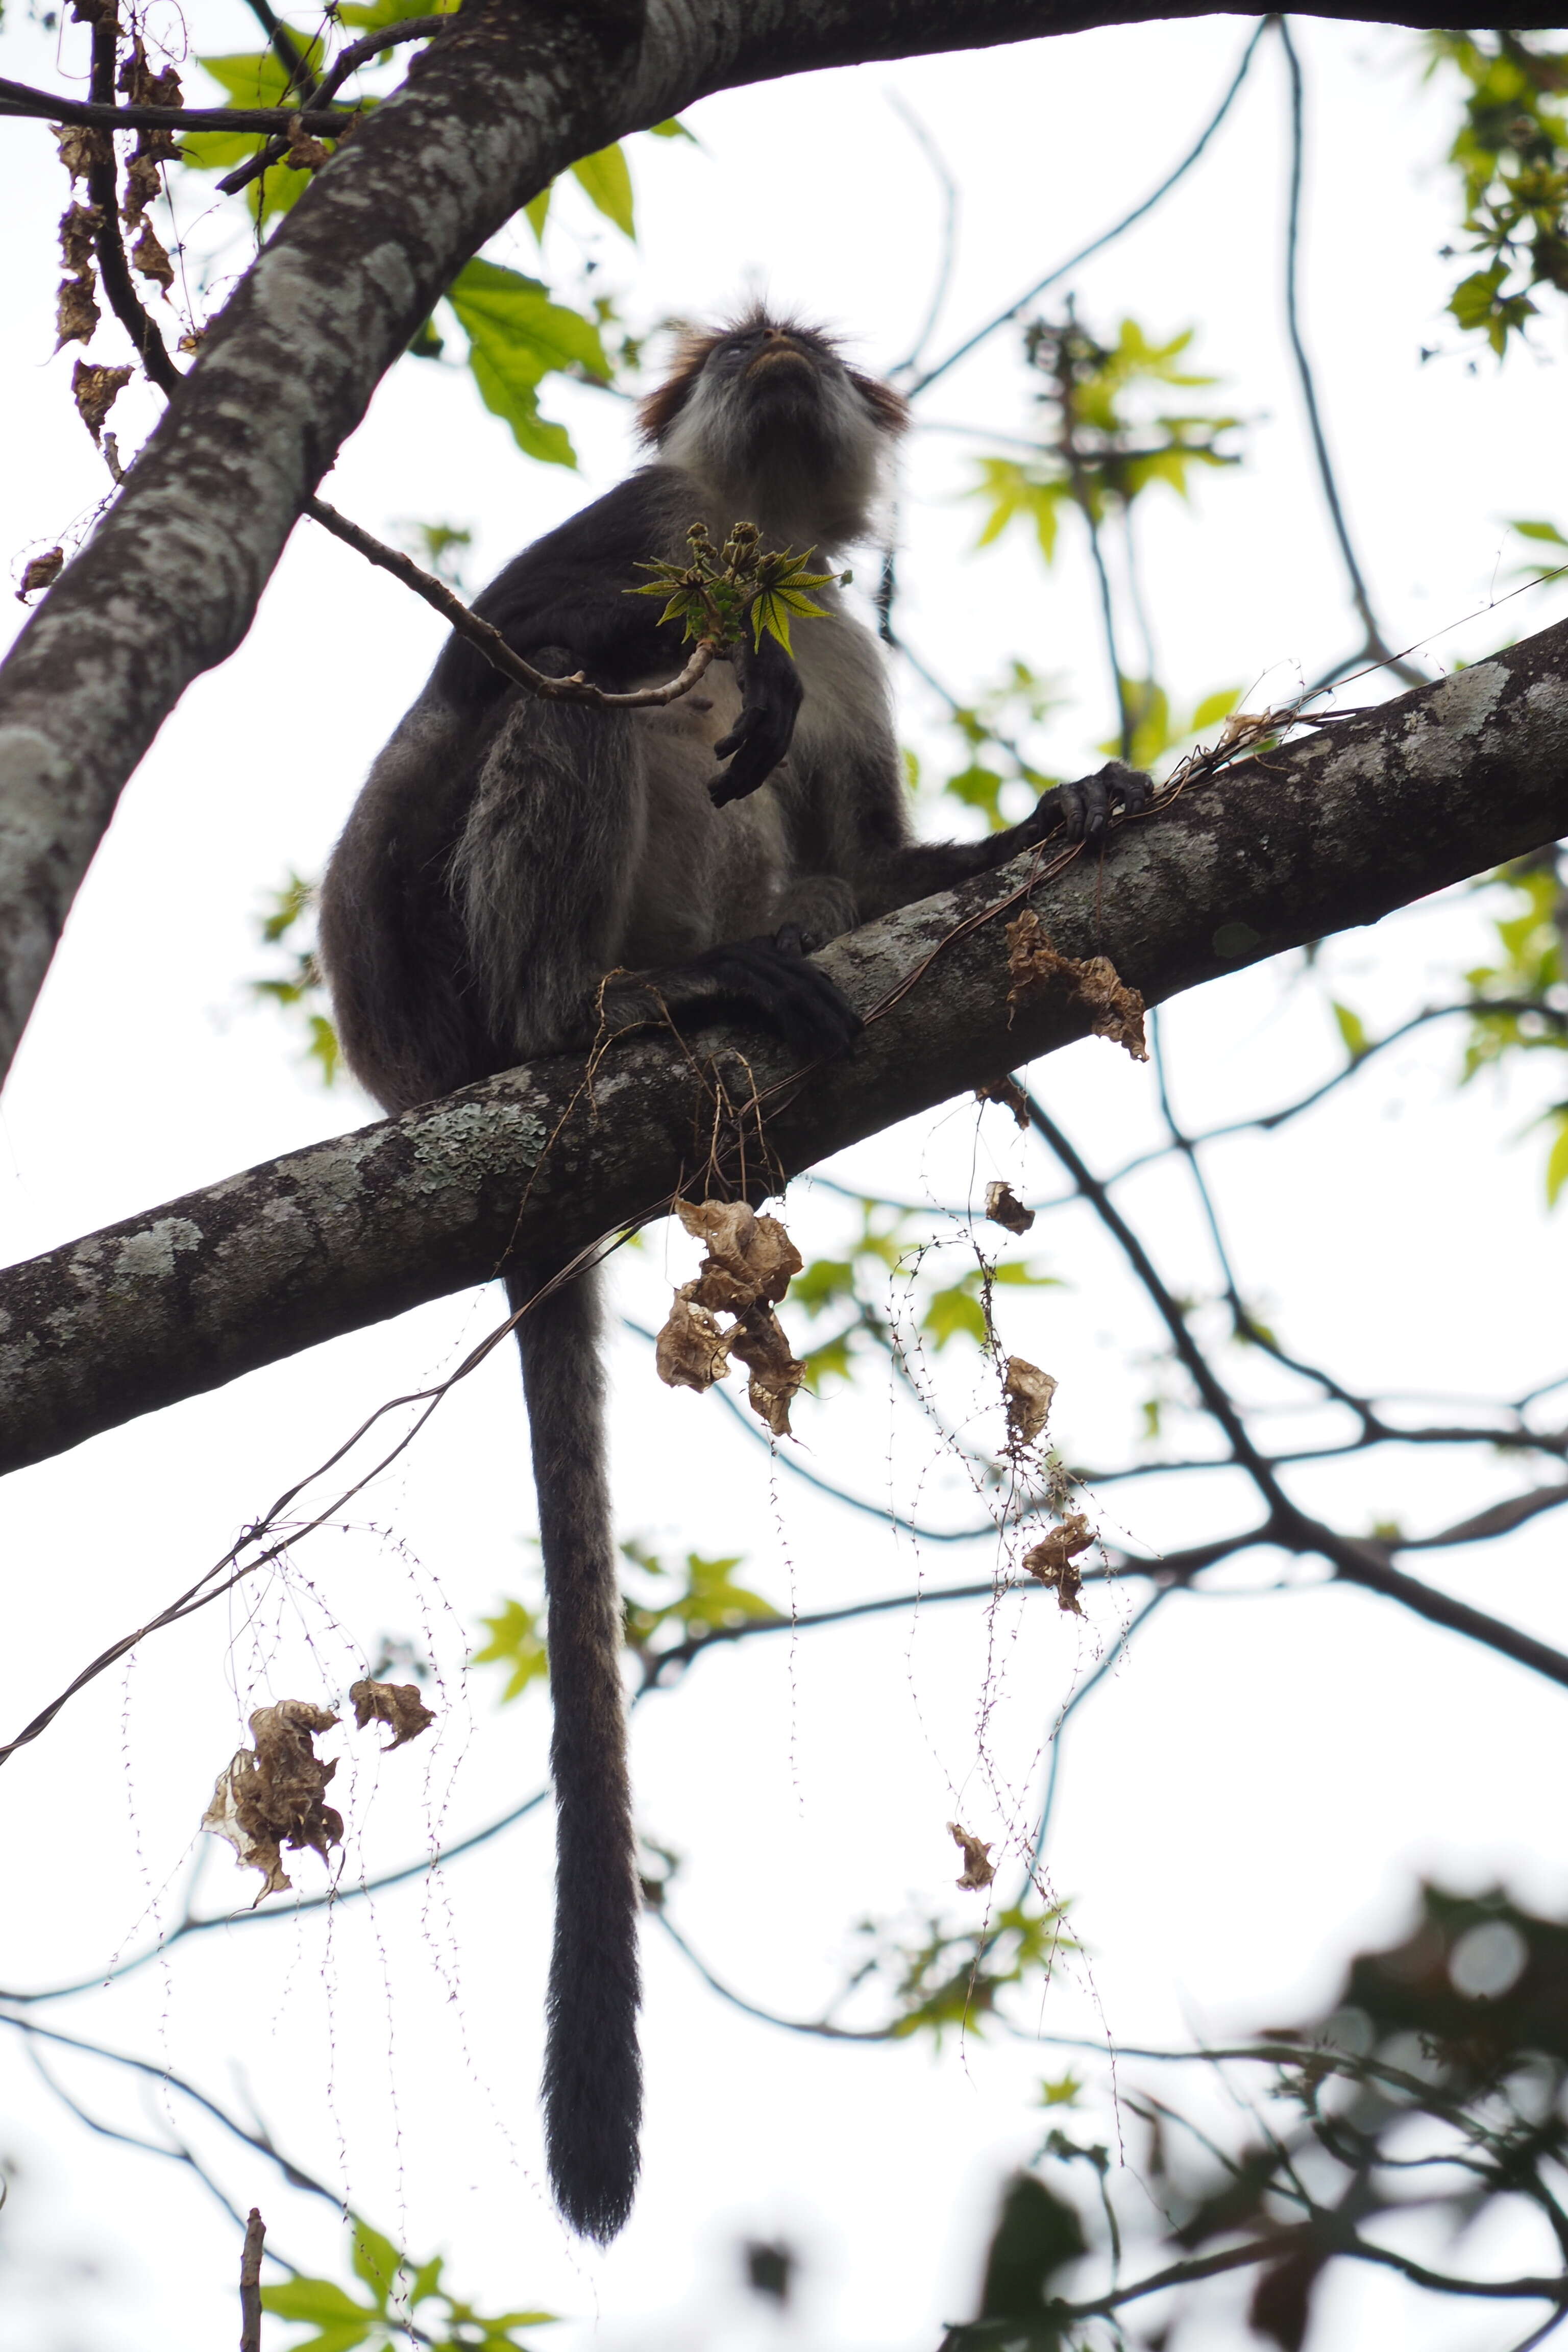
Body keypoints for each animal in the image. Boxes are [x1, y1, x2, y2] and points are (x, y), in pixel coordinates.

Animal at [320, 308, 1152, 2239]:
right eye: (738, 348)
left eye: (812, 351)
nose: (777, 348)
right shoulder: (648, 524)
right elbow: (511, 645)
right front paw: (715, 644)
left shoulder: (840, 616)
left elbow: (866, 839)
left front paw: (1056, 815)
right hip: (449, 966)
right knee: (555, 698)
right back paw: (608, 1009)